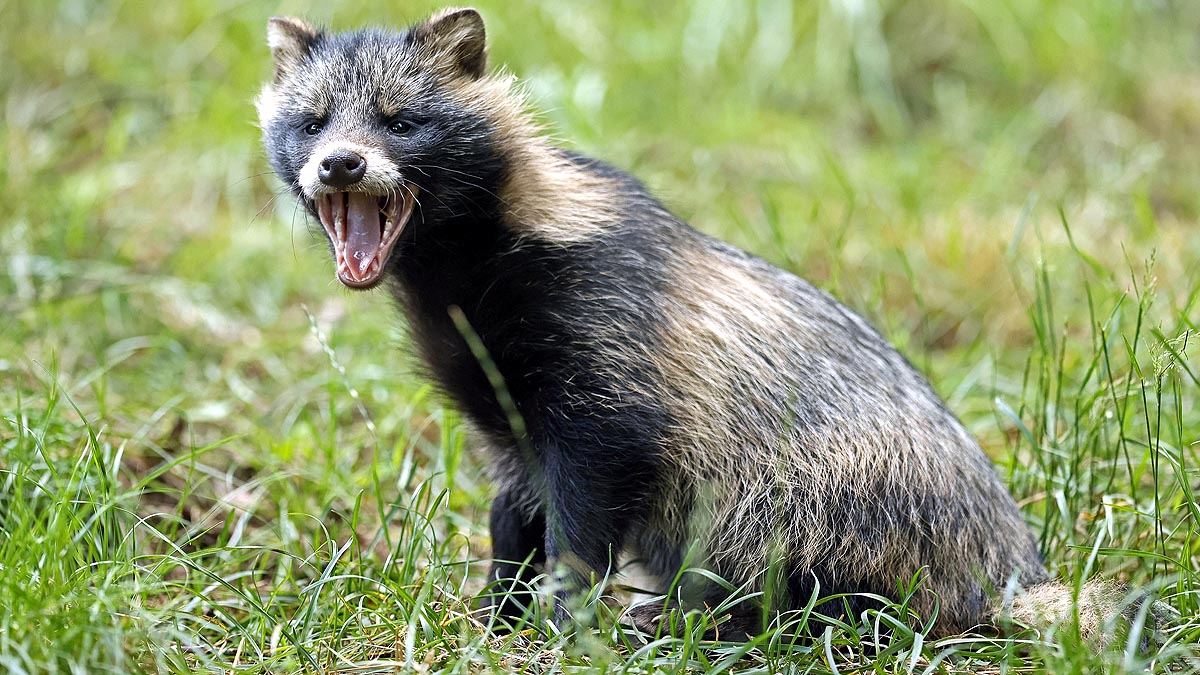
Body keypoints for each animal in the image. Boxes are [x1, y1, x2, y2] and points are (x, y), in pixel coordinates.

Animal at [257, 8, 1163, 641]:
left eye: (401, 119)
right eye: (311, 120)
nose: (341, 163)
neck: (467, 270)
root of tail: (1007, 574)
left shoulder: (605, 346)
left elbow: (589, 492)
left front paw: (559, 615)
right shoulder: (500, 398)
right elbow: (514, 504)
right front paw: (497, 606)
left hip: (830, 490)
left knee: (789, 571)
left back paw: (695, 618)